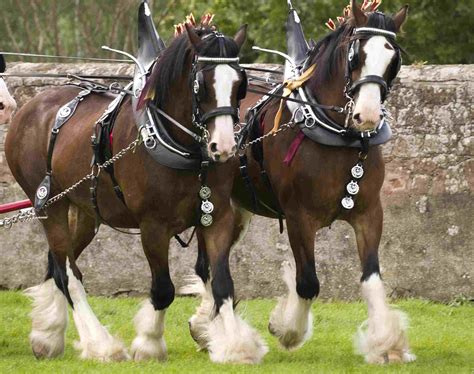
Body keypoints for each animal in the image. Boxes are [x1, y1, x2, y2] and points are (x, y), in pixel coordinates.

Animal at [4, 22, 266, 362]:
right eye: (201, 85)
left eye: (240, 84)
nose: (223, 147)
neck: (178, 144)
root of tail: (31, 107)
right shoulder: (153, 226)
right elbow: (163, 289)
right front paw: (149, 343)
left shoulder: (216, 216)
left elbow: (222, 283)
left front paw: (236, 346)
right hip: (50, 205)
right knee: (67, 273)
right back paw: (100, 344)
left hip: (85, 211)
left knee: (56, 262)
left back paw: (47, 335)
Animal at [191, 0, 416, 366]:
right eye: (356, 56)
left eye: (392, 59)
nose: (367, 116)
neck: (337, 136)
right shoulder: (300, 217)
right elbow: (308, 282)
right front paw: (287, 329)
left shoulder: (369, 213)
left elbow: (371, 278)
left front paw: (387, 343)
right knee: (208, 266)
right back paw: (214, 331)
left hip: (237, 211)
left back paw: (204, 326)